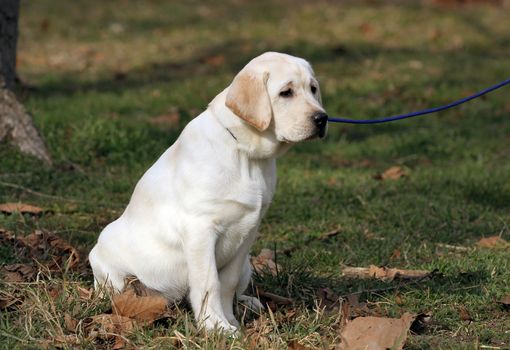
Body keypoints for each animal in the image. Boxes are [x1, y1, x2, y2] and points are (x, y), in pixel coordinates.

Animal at [88, 51, 328, 330]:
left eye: (313, 89)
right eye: (286, 92)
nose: (322, 119)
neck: (245, 154)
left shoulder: (248, 231)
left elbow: (227, 283)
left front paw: (230, 321)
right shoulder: (200, 230)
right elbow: (208, 282)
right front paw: (216, 326)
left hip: (246, 264)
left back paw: (249, 302)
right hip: (110, 266)